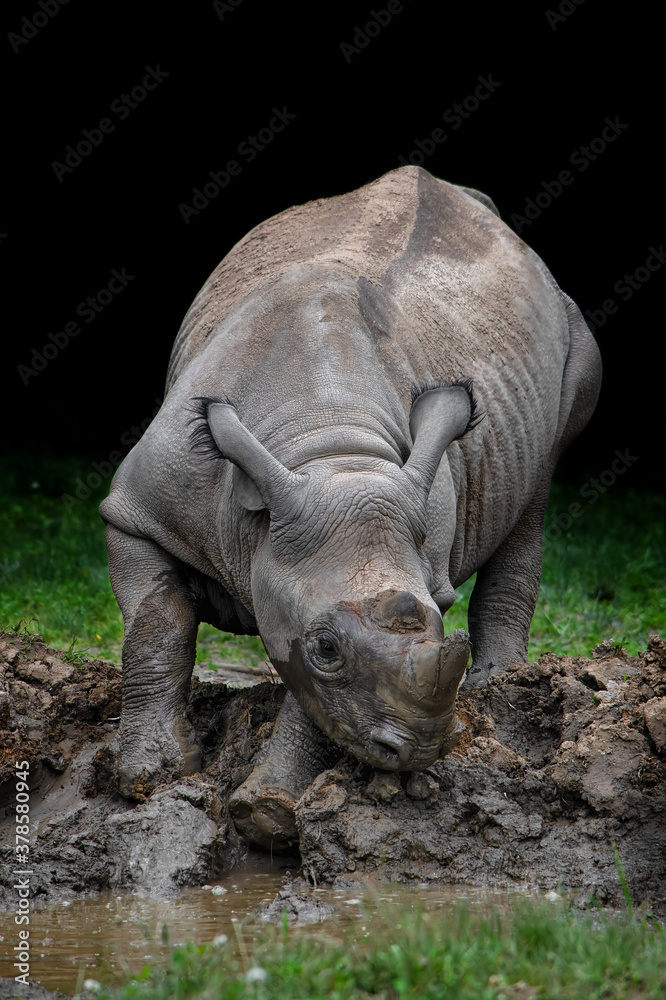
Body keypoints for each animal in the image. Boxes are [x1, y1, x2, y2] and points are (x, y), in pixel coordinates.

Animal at [100, 165, 601, 849]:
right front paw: (147, 779)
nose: (417, 750)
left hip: (570, 340)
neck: (326, 449)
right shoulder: (138, 512)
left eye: (437, 615)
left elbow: (312, 702)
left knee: (541, 476)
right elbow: (158, 625)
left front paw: (266, 813)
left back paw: (499, 685)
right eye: (326, 649)